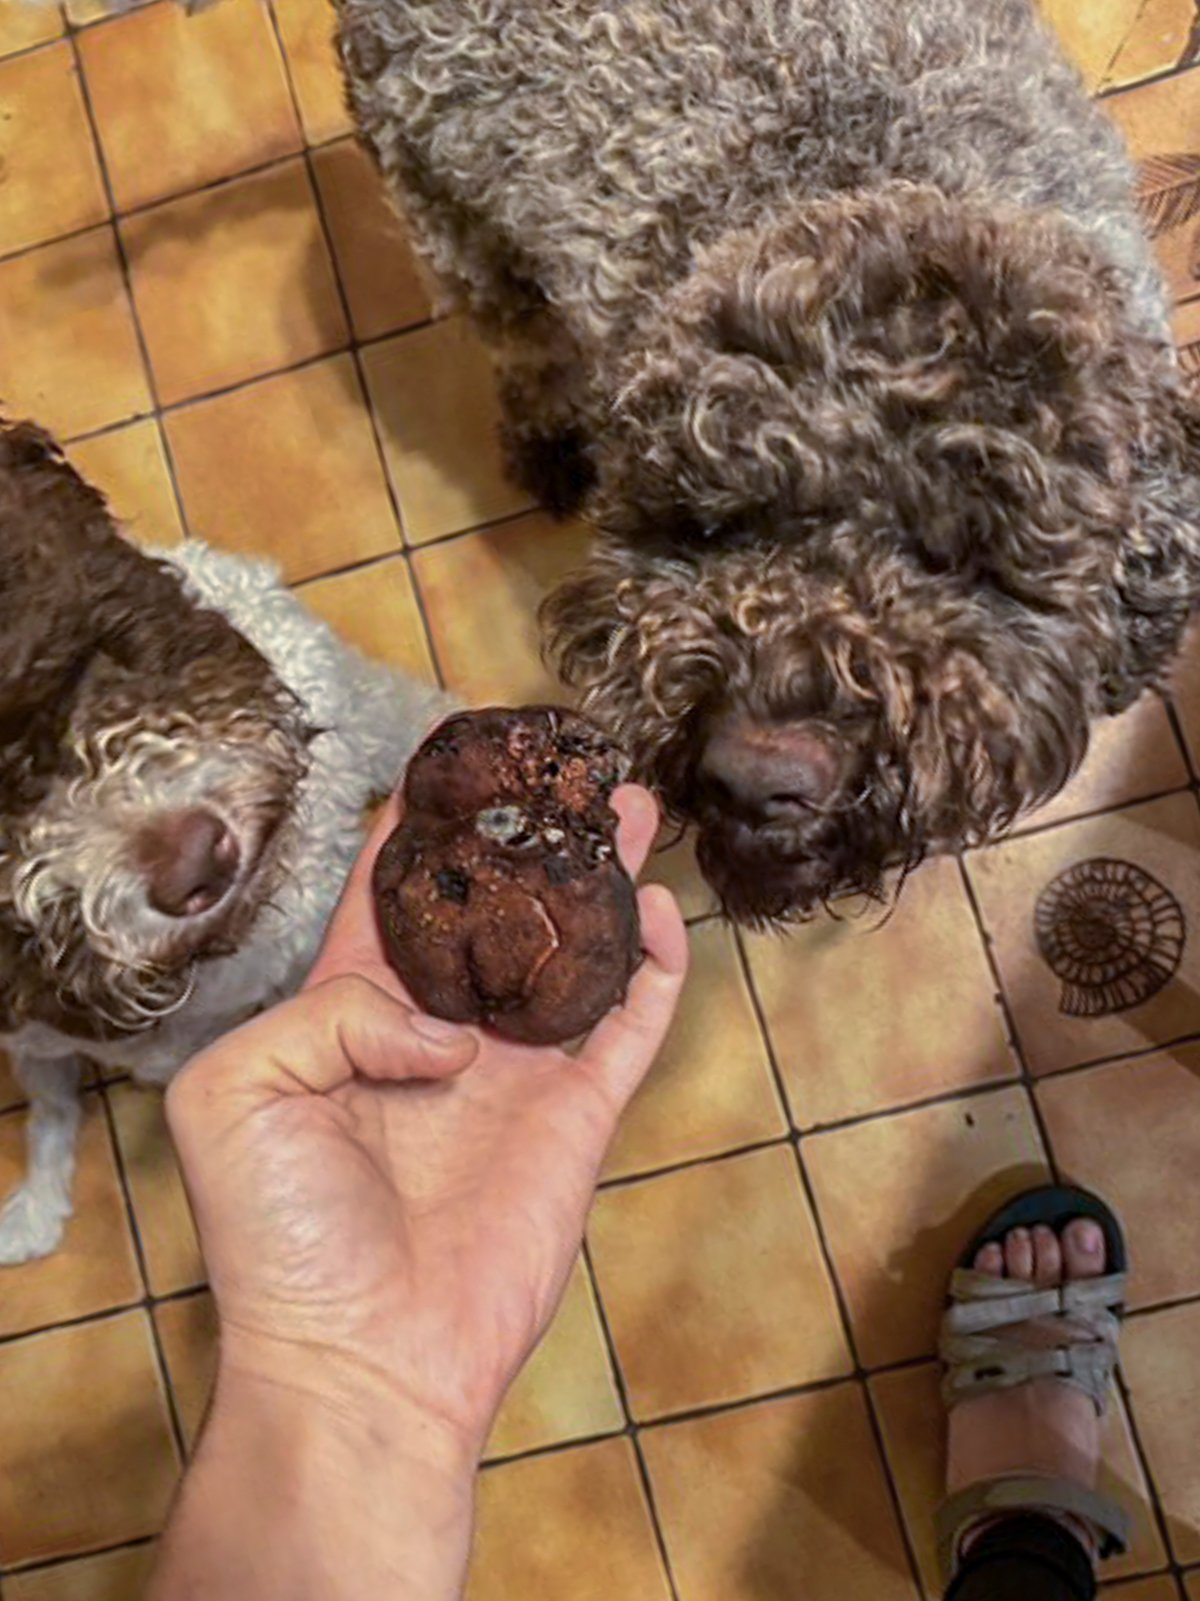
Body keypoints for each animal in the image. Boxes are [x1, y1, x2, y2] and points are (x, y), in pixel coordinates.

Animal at [336, 0, 1200, 928]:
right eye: (716, 525)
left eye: (965, 559)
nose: (757, 778)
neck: (882, 169)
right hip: (457, 233)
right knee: (518, 344)